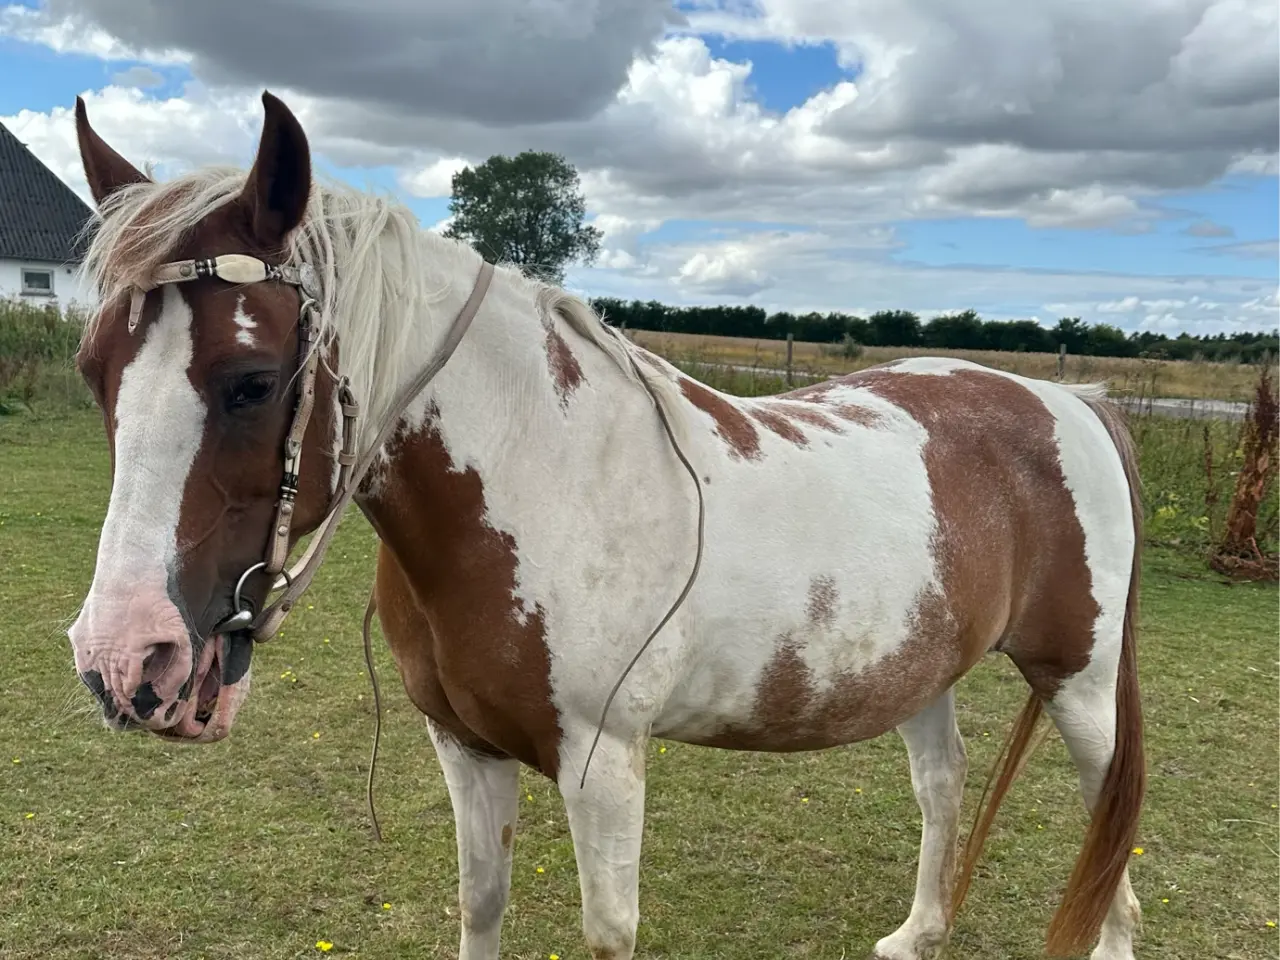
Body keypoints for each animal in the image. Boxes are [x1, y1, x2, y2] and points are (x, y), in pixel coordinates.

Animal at [67, 91, 1145, 960]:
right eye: (92, 370)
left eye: (251, 382)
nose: (125, 657)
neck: (538, 480)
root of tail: (1074, 403)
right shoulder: (465, 750)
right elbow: (481, 906)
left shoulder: (603, 768)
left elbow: (606, 931)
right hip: (924, 674)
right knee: (944, 790)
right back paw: (916, 933)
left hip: (1078, 684)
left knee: (1109, 845)